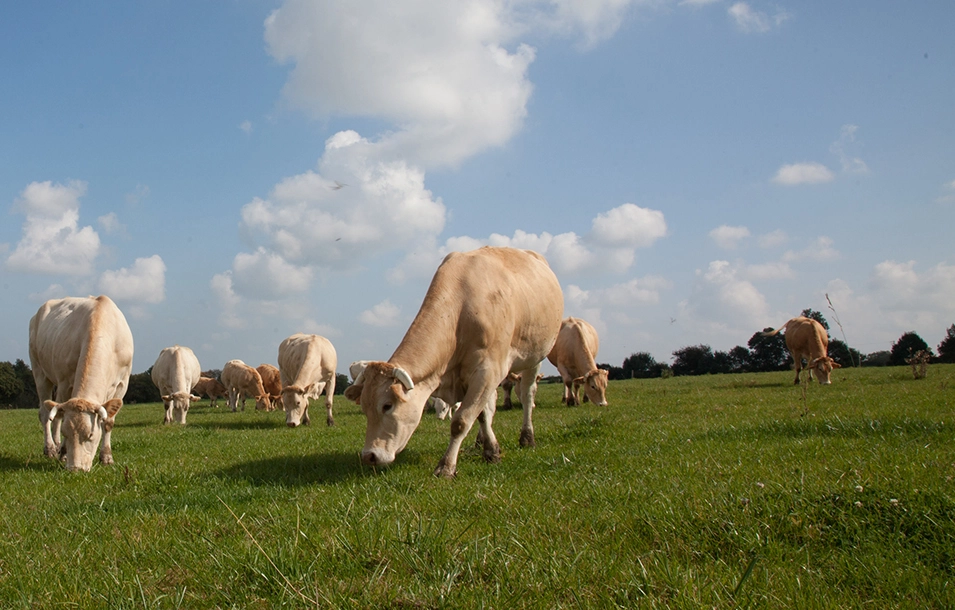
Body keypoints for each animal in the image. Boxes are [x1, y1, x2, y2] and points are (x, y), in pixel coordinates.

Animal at [28, 294, 134, 470]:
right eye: (66, 433)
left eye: (90, 435)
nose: (75, 468)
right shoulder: (64, 382)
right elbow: (60, 417)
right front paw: (64, 453)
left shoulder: (122, 384)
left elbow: (108, 421)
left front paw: (106, 457)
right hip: (39, 371)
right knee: (46, 414)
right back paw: (51, 448)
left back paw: (57, 446)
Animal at [346, 246, 564, 476]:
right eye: (364, 408)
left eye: (387, 406)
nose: (369, 456)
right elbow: (481, 415)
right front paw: (491, 451)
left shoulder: (488, 372)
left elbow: (461, 421)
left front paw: (446, 467)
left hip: (535, 357)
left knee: (528, 396)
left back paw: (527, 437)